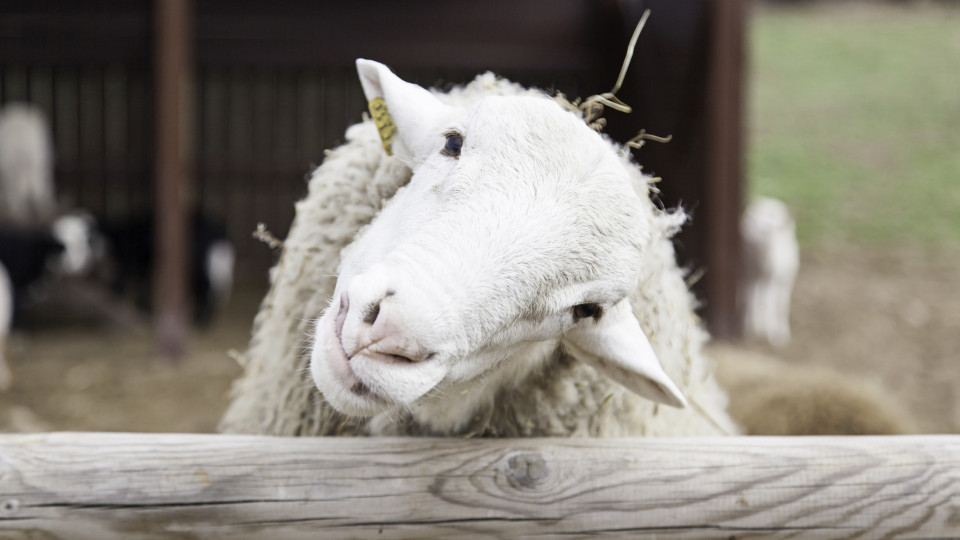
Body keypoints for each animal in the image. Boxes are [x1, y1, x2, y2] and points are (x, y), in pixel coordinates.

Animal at [740, 196, 800, 348]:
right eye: (753, 221)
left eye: (766, 229)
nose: (746, 231)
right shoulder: (758, 278)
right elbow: (758, 303)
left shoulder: (778, 280)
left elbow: (776, 305)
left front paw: (778, 335)